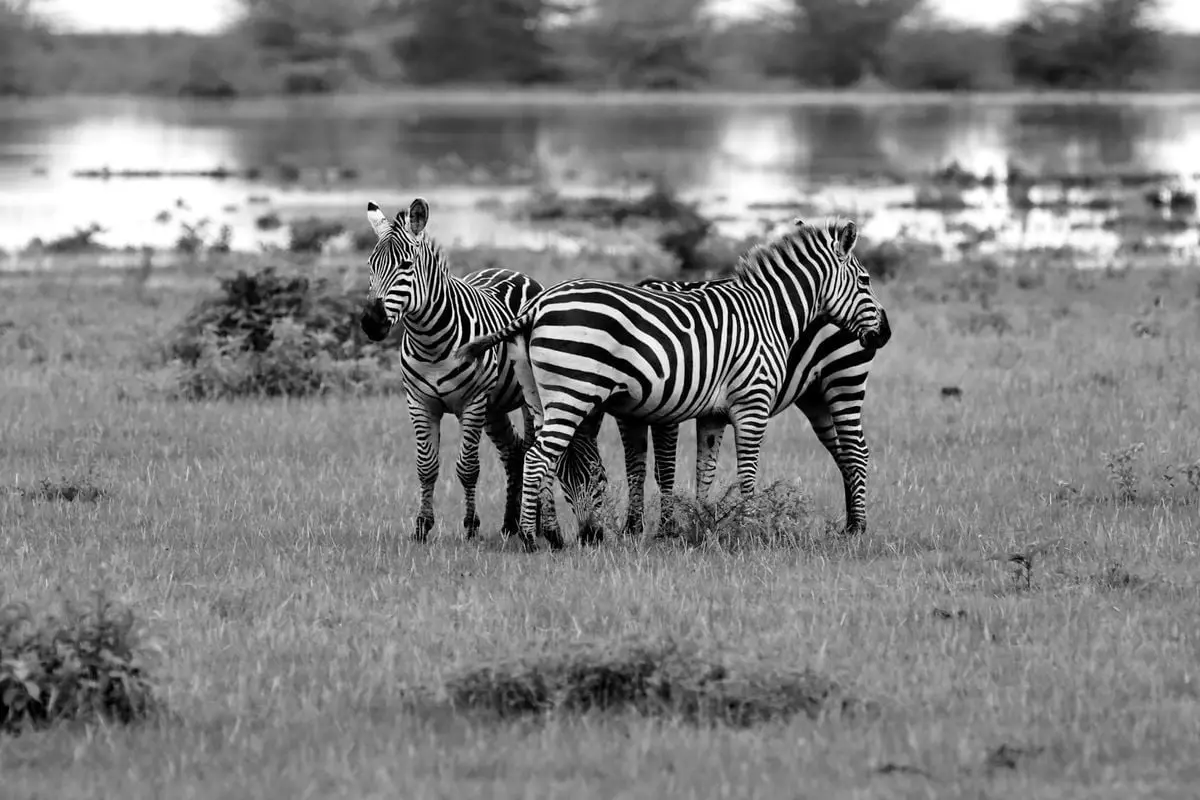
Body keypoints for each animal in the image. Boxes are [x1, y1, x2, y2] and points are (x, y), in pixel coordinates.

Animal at [359, 198, 607, 548]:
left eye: (406, 265)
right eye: (371, 264)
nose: (371, 322)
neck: (430, 342)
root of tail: (511, 272)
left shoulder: (472, 402)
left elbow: (468, 468)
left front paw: (470, 526)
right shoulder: (419, 402)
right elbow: (426, 466)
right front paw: (422, 527)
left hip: (523, 399)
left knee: (532, 451)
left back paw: (541, 527)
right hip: (494, 407)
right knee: (514, 452)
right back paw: (511, 524)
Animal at [630, 273, 889, 537]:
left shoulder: (669, 405)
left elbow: (664, 466)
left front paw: (667, 528)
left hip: (844, 378)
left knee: (856, 450)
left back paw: (857, 527)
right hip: (815, 397)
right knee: (842, 453)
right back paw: (850, 523)